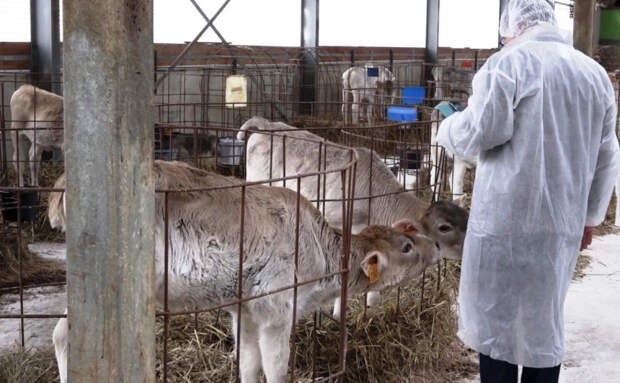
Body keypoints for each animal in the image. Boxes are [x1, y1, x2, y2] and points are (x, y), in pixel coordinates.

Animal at [50, 160, 444, 382]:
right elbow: (276, 369)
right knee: (64, 334)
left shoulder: (245, 311)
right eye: (407, 247)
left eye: (409, 236)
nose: (434, 247)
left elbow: (249, 366)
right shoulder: (276, 310)